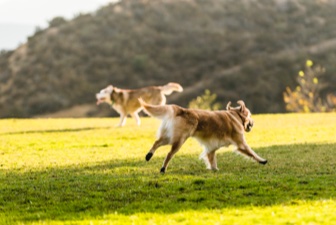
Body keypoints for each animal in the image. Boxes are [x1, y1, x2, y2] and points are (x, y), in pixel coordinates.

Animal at [139, 99, 268, 174]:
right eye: (250, 115)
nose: (253, 122)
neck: (235, 115)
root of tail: (182, 109)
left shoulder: (211, 147)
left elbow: (212, 159)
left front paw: (214, 169)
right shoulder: (240, 143)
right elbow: (251, 152)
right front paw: (262, 160)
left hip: (170, 136)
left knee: (157, 142)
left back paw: (149, 155)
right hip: (179, 139)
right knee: (169, 154)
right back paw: (163, 168)